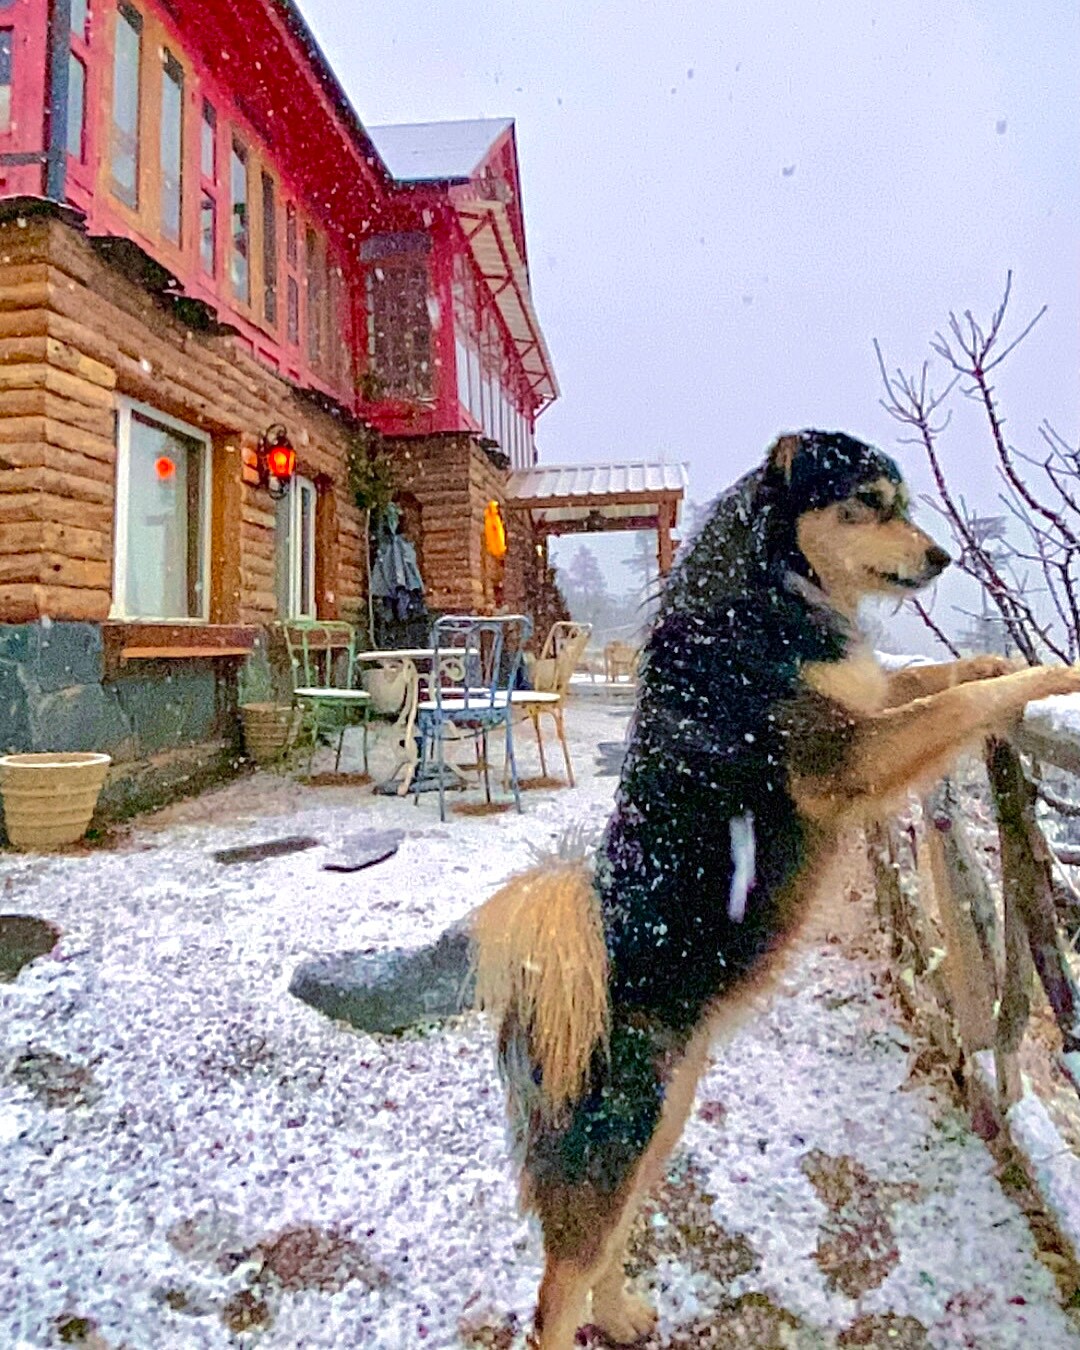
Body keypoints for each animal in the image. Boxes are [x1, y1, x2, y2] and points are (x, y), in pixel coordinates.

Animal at [472, 430, 1080, 1349]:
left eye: (903, 504)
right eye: (868, 502)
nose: (942, 557)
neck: (769, 591)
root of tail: (546, 987)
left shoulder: (866, 704)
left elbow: (942, 679)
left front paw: (1006, 653)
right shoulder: (845, 759)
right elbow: (965, 702)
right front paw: (1057, 675)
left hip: (665, 1114)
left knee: (604, 1243)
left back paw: (621, 1311)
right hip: (621, 1128)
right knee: (558, 1287)